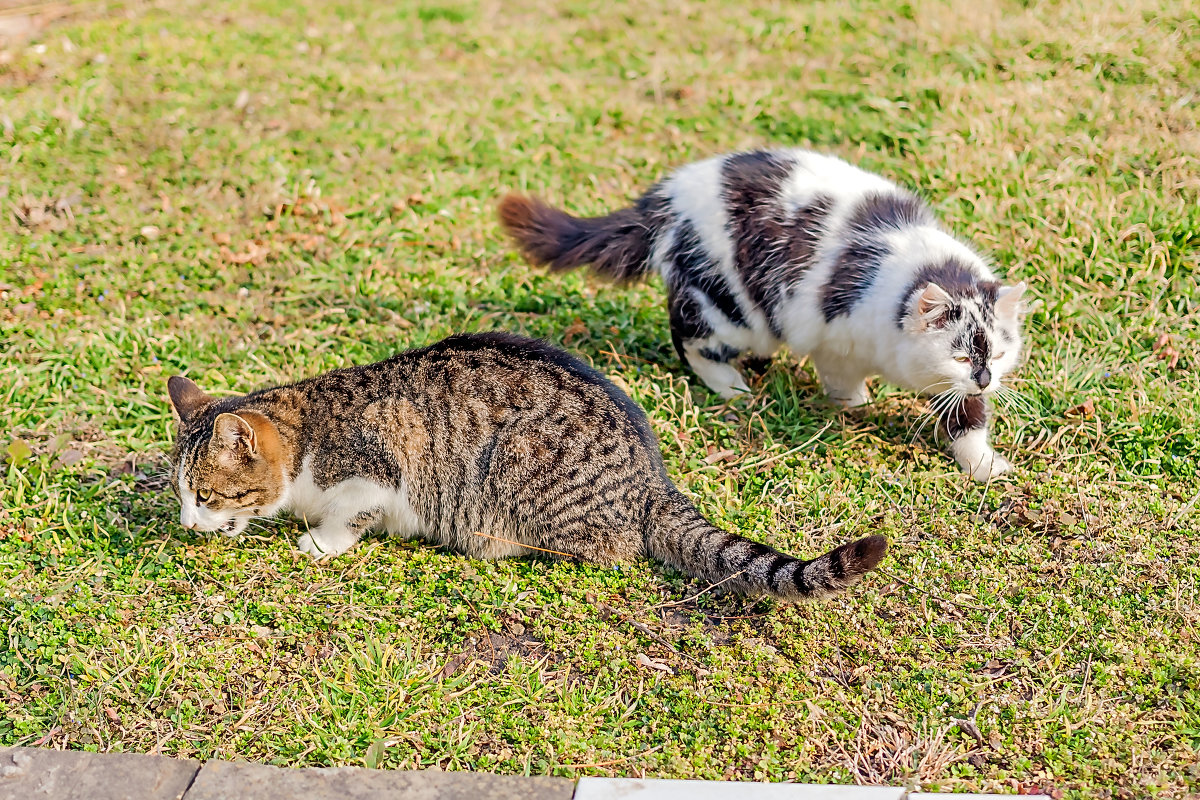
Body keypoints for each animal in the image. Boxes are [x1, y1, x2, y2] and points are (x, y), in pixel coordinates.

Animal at [164, 331, 888, 599]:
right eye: (184, 494)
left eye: (208, 495)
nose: (185, 524)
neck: (309, 430)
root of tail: (651, 478)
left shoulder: (380, 467)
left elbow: (350, 518)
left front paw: (319, 542)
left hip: (515, 468)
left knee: (610, 548)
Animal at [501, 149, 1027, 482]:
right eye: (961, 357)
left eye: (998, 355)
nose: (984, 378)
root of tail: (665, 199)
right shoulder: (836, 338)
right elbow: (843, 381)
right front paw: (852, 407)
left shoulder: (958, 388)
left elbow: (970, 422)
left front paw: (984, 467)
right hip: (731, 307)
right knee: (689, 338)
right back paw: (734, 387)